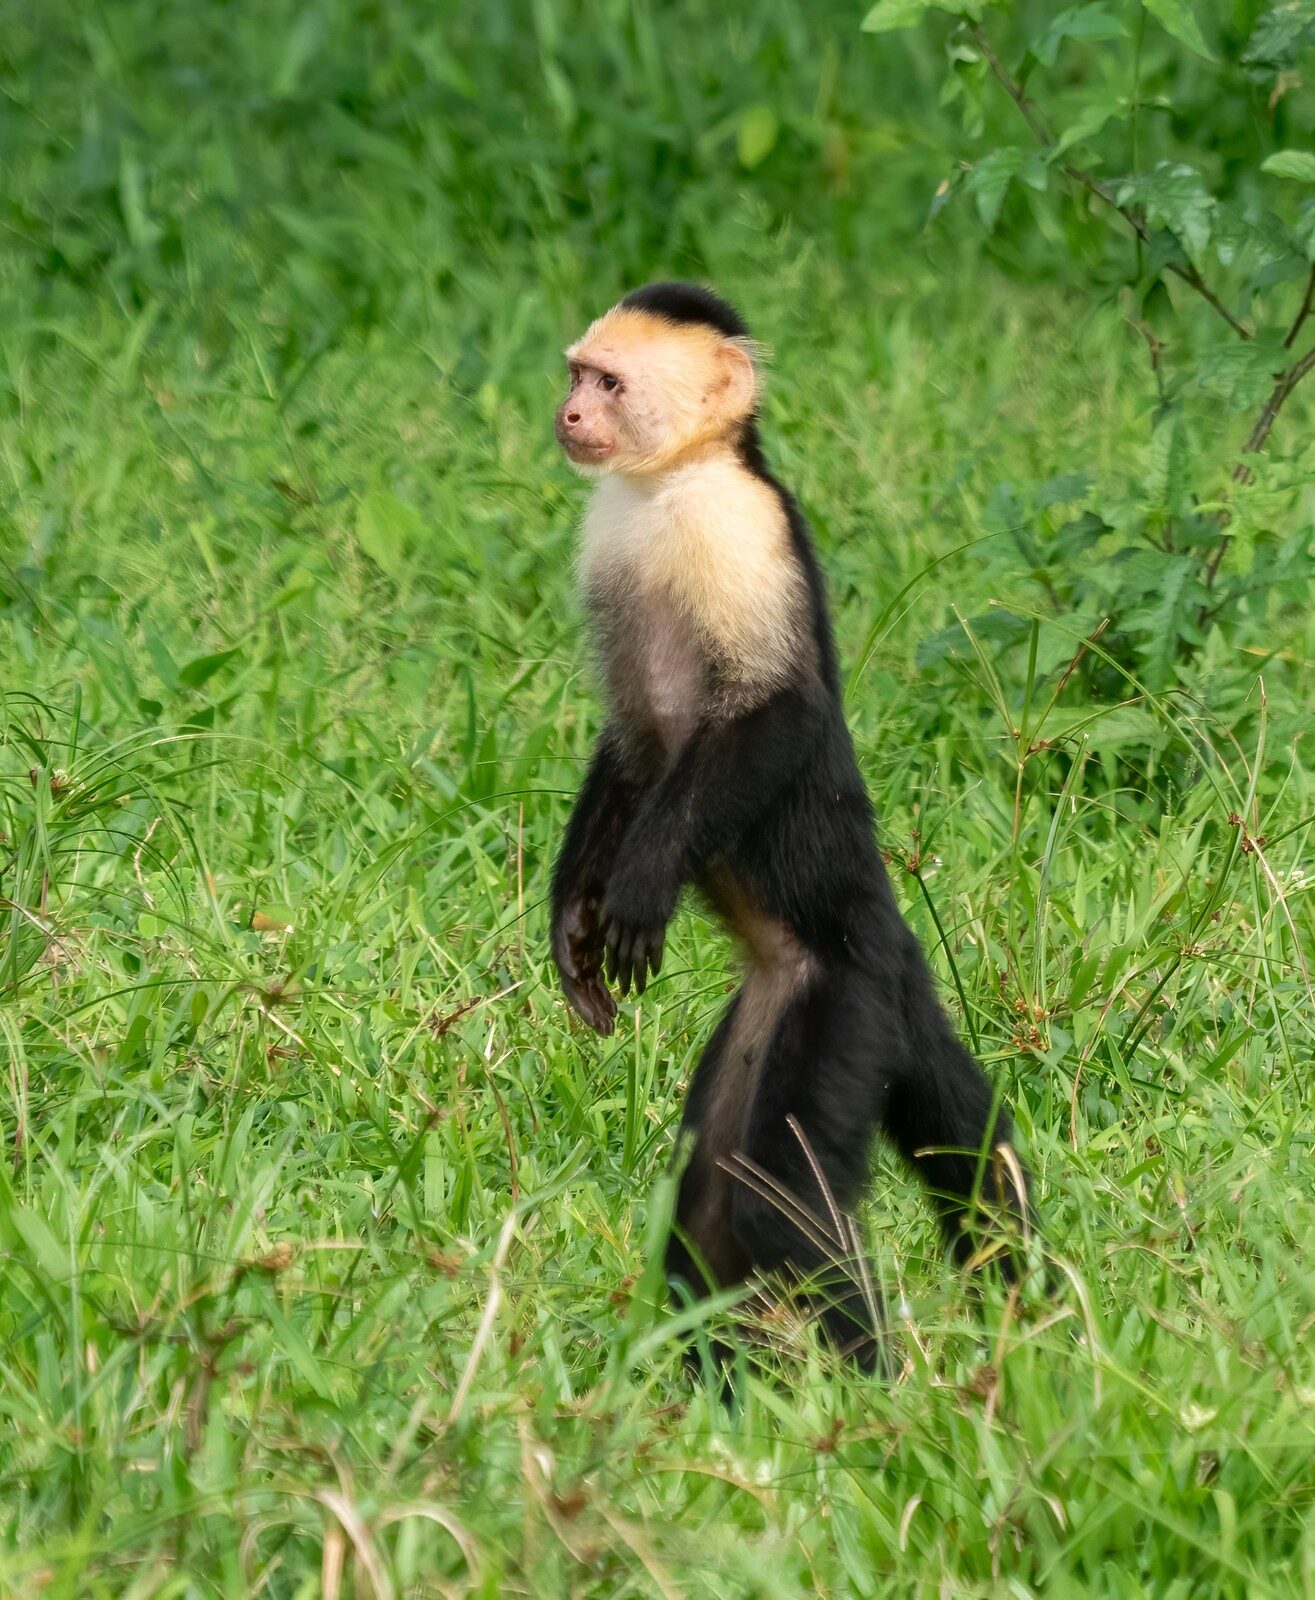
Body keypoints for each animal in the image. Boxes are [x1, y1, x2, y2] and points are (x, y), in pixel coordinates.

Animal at [549, 281, 1030, 1371]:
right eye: (578, 374)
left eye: (610, 384)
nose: (568, 414)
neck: (671, 485)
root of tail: (893, 944)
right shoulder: (610, 540)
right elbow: (626, 742)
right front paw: (571, 920)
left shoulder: (740, 530)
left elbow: (779, 712)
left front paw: (640, 881)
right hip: (768, 1012)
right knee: (705, 1205)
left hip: (841, 1004)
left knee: (777, 1204)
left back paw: (876, 1386)